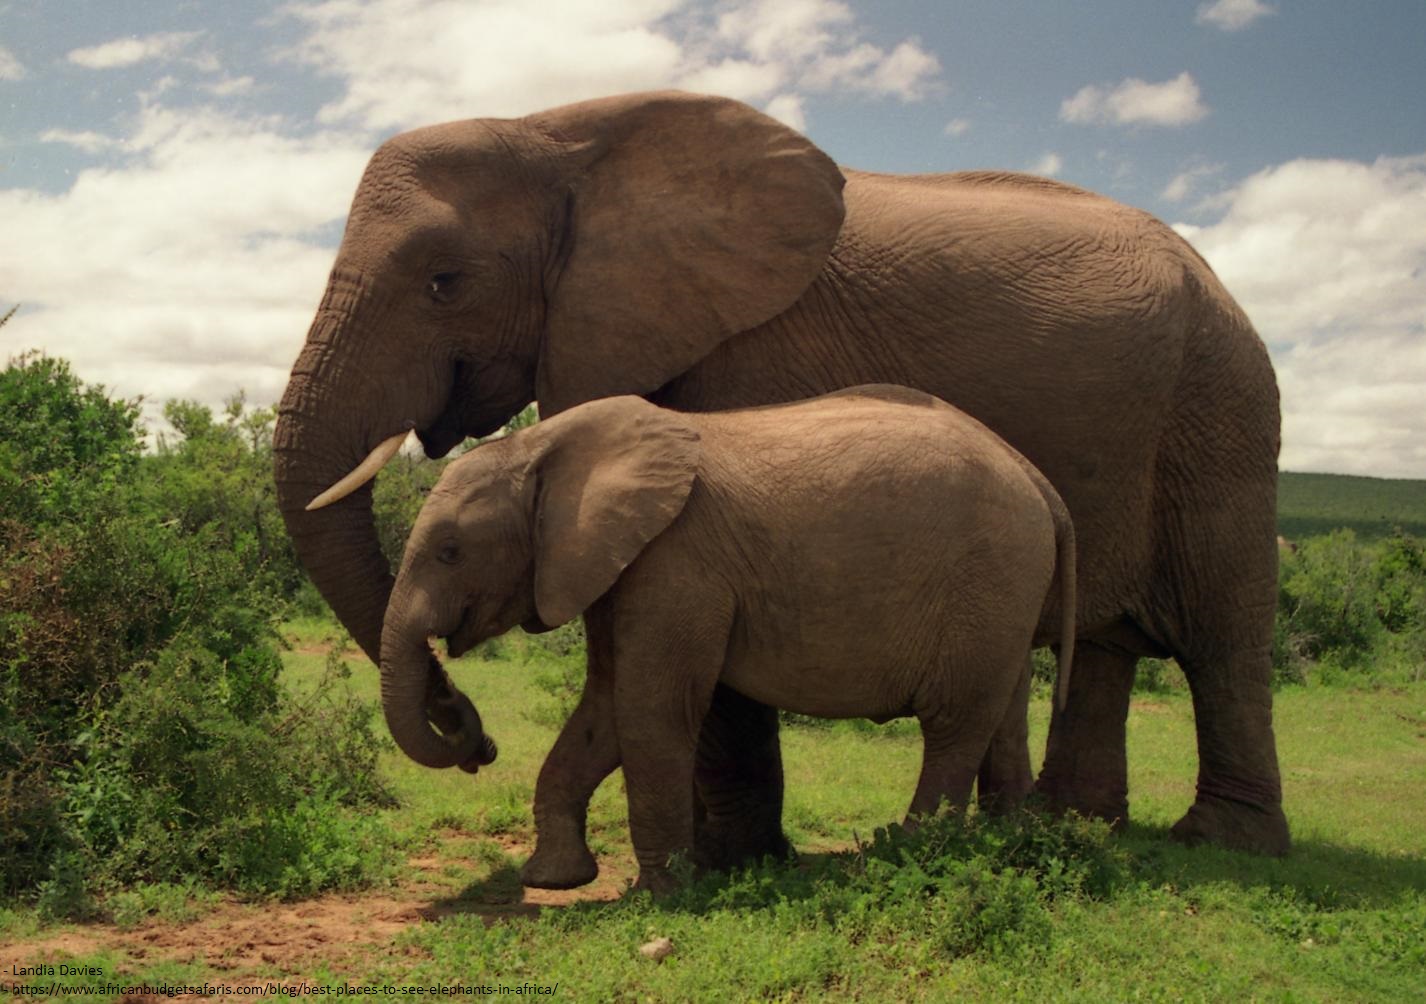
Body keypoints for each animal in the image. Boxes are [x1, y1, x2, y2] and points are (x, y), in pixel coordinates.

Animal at [379, 385, 1072, 895]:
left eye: (449, 551)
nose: (481, 746)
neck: (543, 446)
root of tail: (1038, 479)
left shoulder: (677, 562)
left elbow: (650, 709)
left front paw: (662, 896)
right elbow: (604, 709)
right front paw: (555, 881)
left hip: (987, 578)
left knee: (954, 724)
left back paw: (905, 855)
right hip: (1005, 594)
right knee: (1003, 715)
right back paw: (1007, 845)